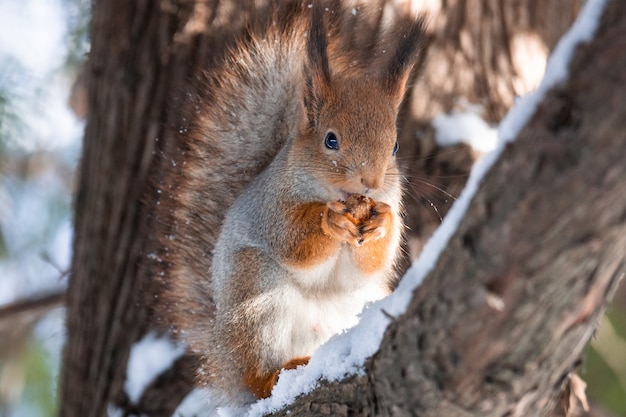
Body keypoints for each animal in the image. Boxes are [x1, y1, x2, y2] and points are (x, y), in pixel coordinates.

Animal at [153, 0, 422, 404]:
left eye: (394, 146)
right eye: (330, 140)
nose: (371, 183)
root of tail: (223, 358)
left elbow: (373, 261)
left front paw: (382, 222)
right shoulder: (273, 207)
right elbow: (294, 242)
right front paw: (329, 220)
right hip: (257, 297)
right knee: (257, 377)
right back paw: (273, 375)